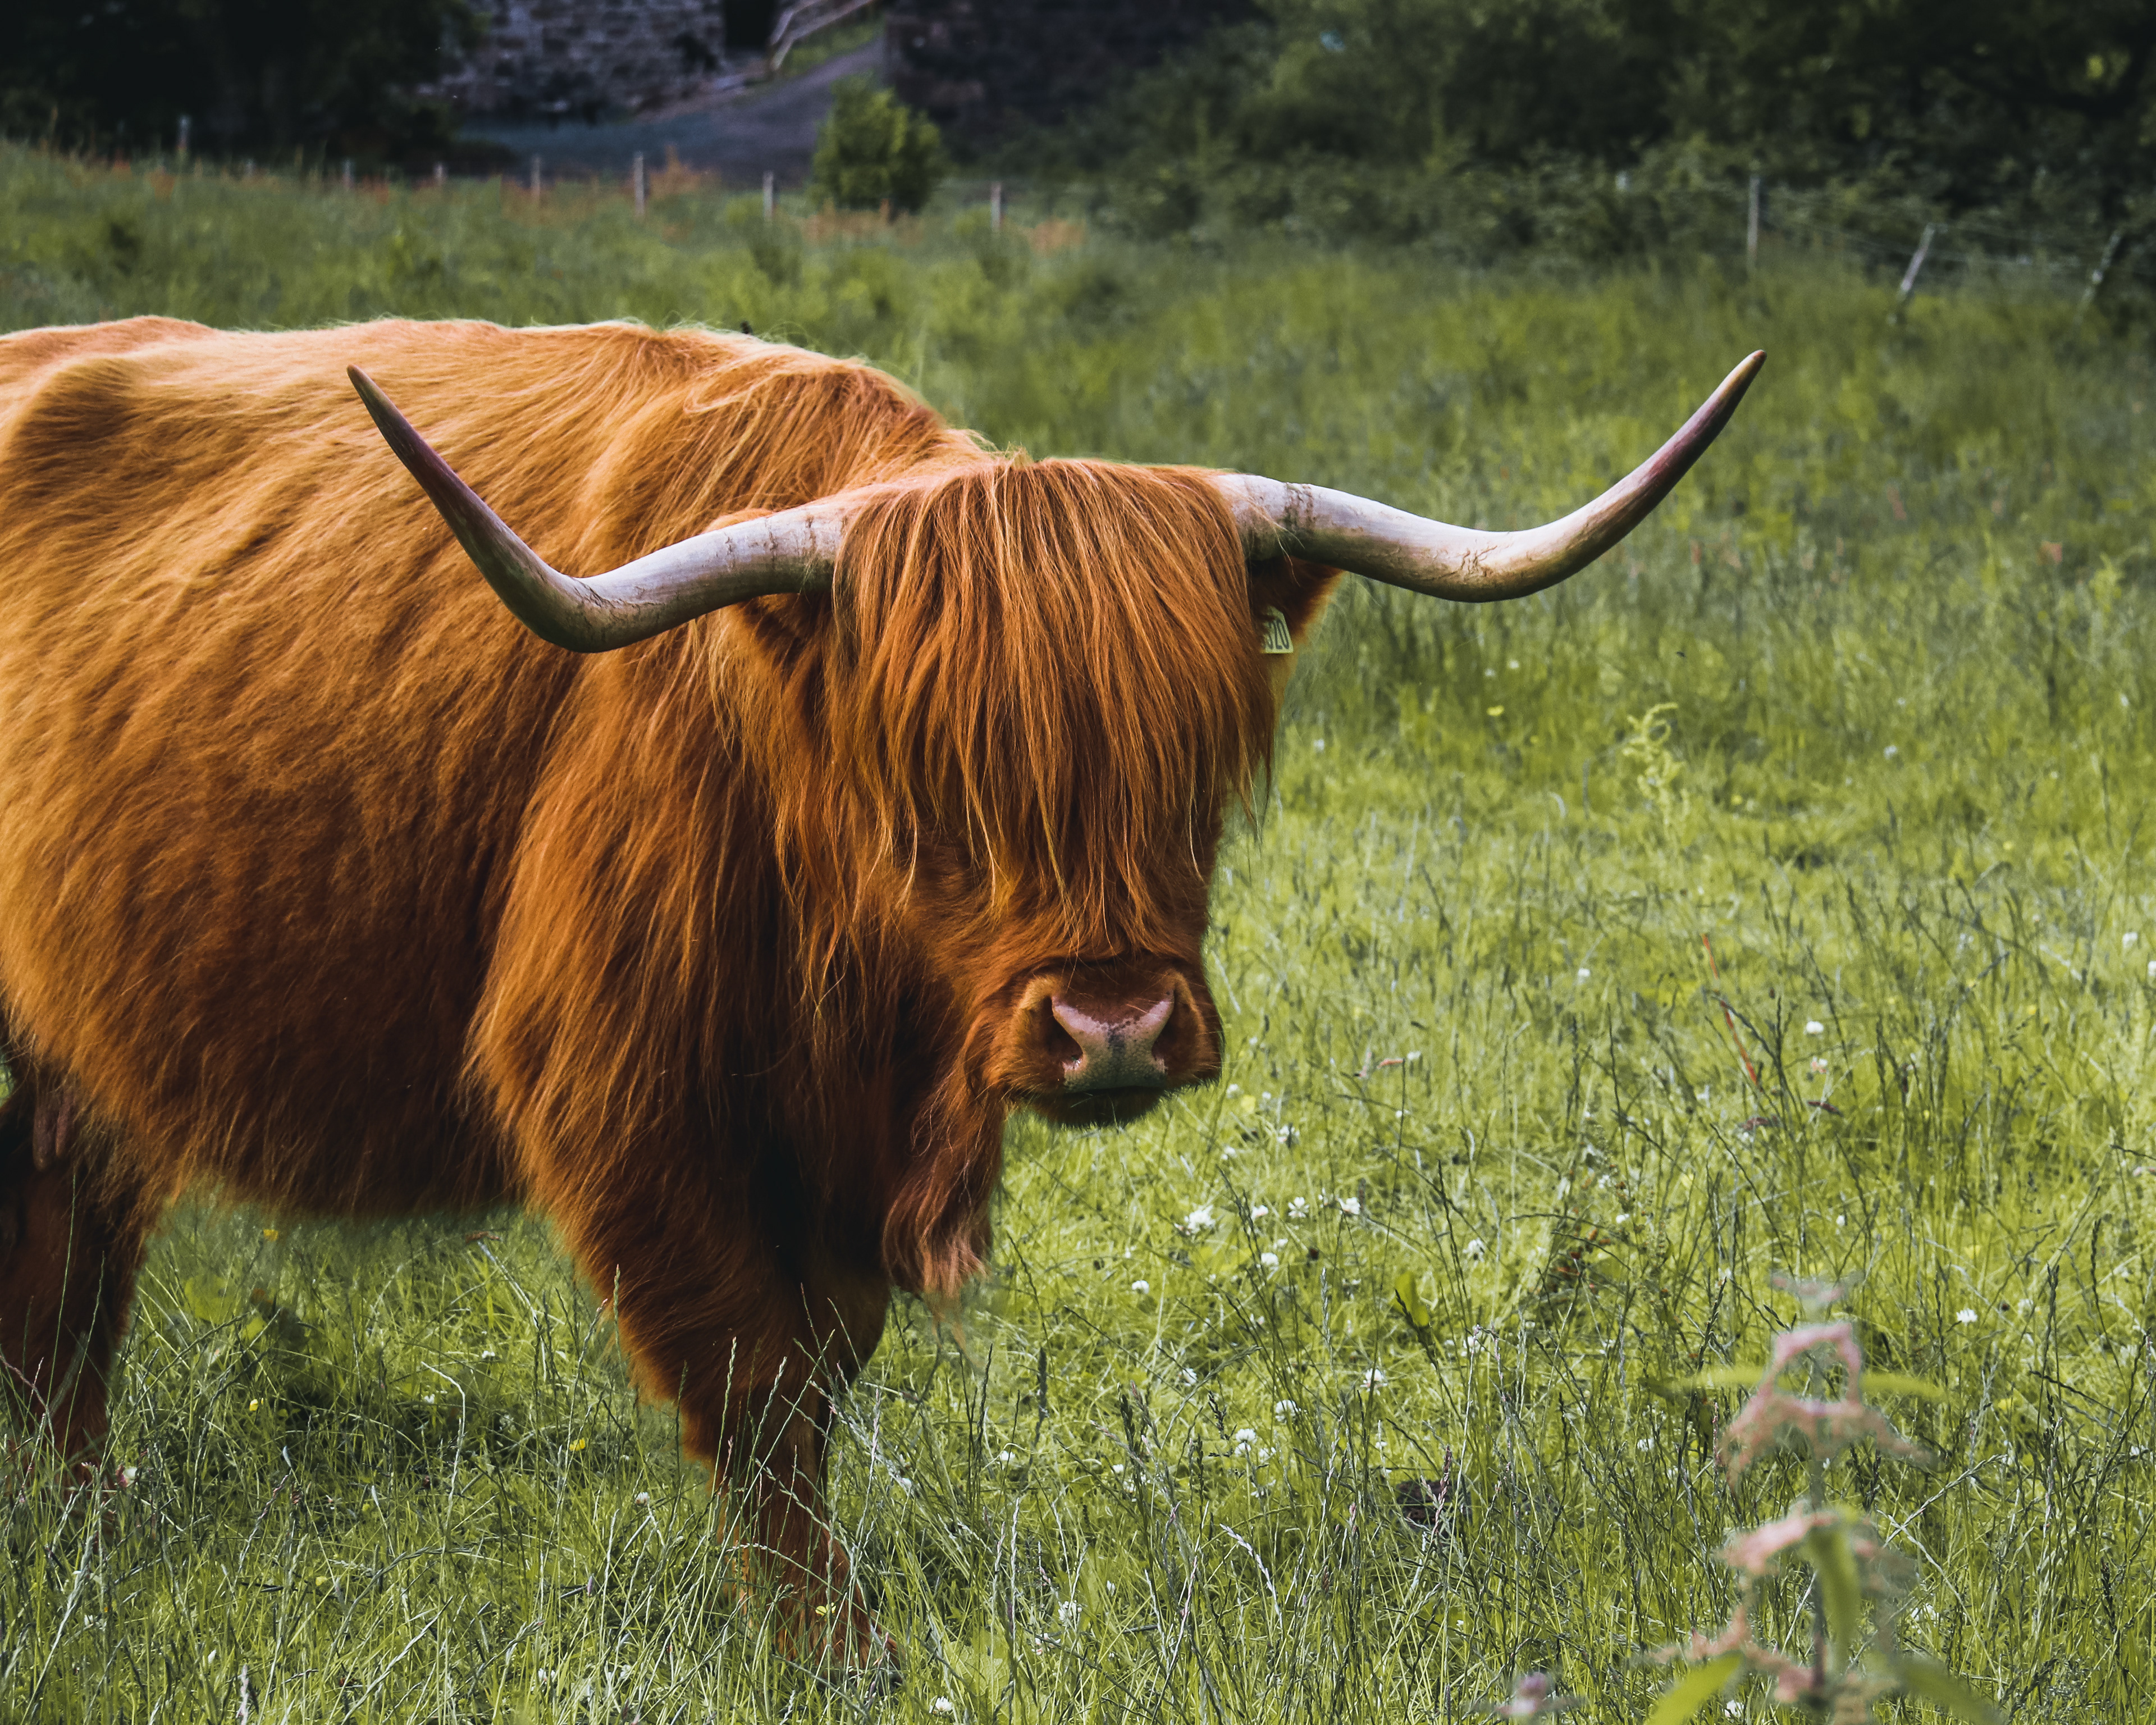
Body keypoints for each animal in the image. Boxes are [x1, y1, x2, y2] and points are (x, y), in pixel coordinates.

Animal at [0, 316, 1760, 1656]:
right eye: (938, 783)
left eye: (1193, 768)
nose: (1114, 1025)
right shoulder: (621, 1099)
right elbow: (754, 1389)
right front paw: (824, 1646)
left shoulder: (844, 1167)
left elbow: (818, 1373)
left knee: (68, 1278)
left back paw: (74, 1526)